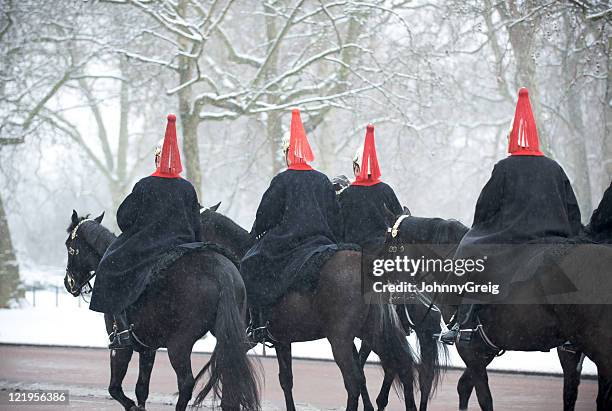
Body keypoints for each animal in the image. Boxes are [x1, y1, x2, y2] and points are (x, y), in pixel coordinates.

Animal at [63, 212, 260, 411]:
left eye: (68, 245)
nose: (68, 282)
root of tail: (222, 271)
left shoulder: (120, 347)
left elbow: (114, 388)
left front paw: (132, 406)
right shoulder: (148, 348)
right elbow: (141, 389)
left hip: (179, 344)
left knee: (186, 383)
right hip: (225, 338)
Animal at [201, 208, 426, 411]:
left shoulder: (243, 337)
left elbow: (225, 364)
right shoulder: (281, 340)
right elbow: (286, 380)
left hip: (341, 340)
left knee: (354, 381)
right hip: (373, 334)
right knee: (400, 367)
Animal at [388, 214, 612, 410]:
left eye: (388, 251)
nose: (393, 300)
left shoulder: (470, 350)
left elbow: (483, 398)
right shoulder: (485, 349)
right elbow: (464, 387)